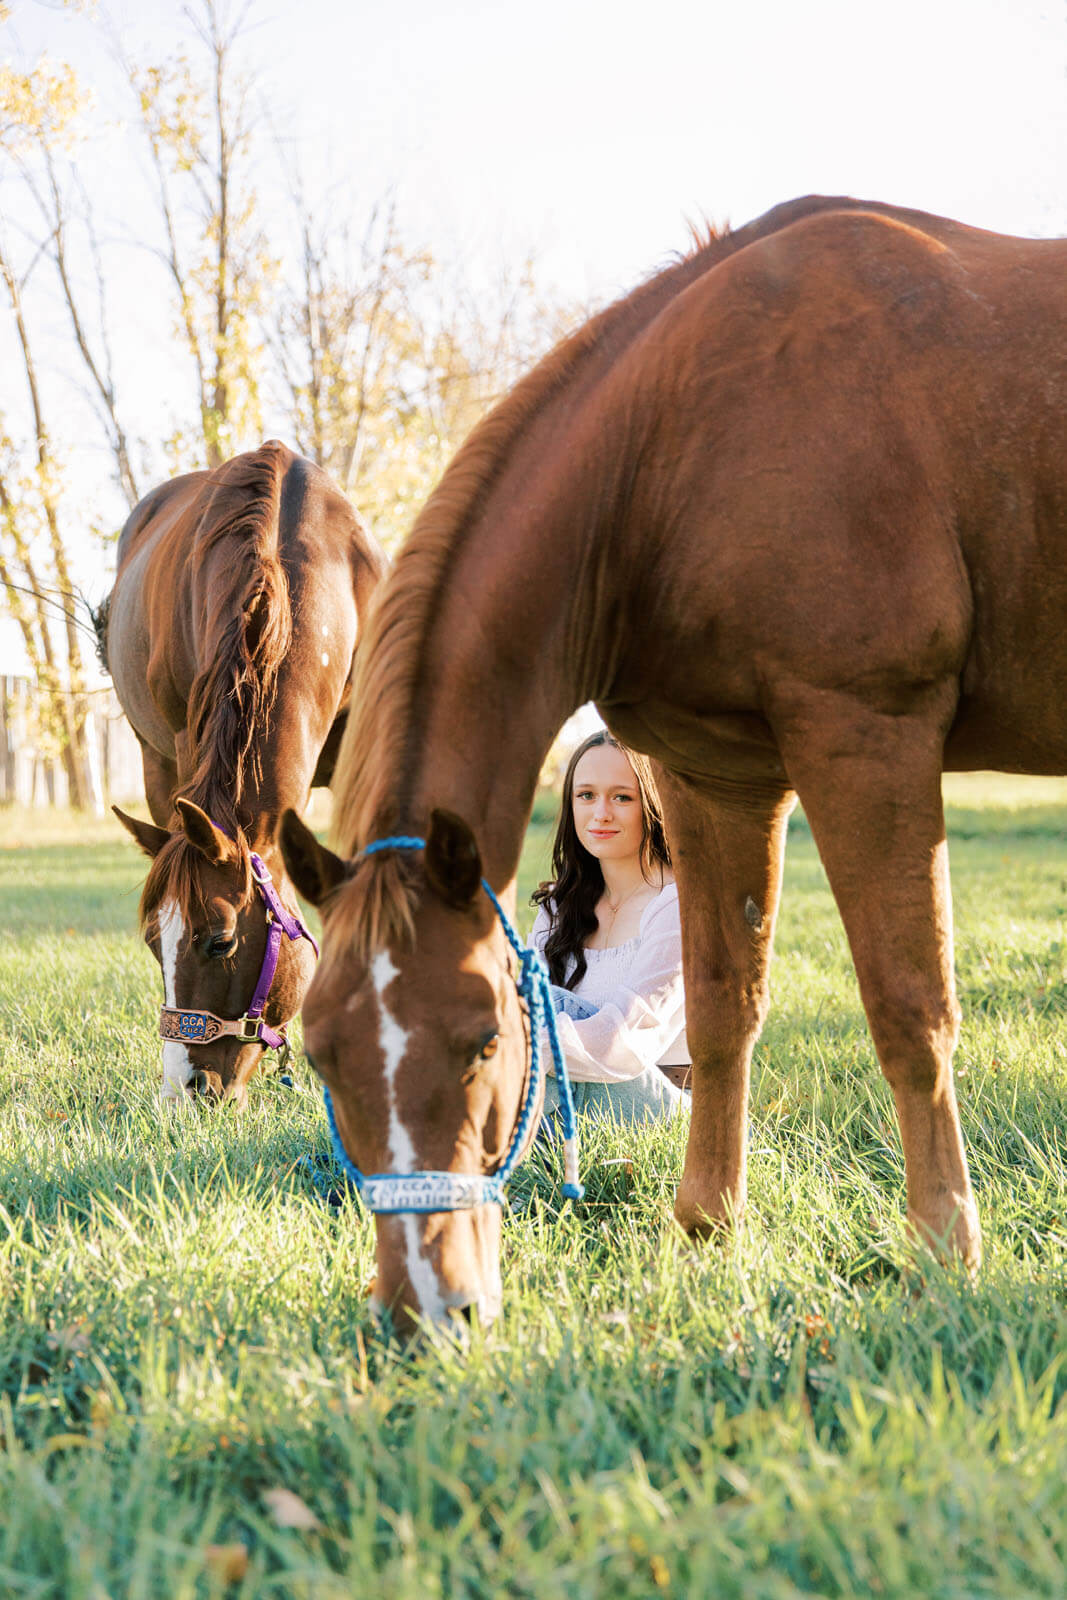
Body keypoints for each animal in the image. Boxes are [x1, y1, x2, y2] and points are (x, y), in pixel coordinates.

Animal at [277, 192, 1067, 1331]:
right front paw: (706, 1226)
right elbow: (721, 1003)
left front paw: (942, 1249)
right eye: (320, 1051)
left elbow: (908, 1007)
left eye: (484, 1039)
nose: (428, 1307)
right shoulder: (712, 775)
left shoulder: (866, 736)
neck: (676, 450)